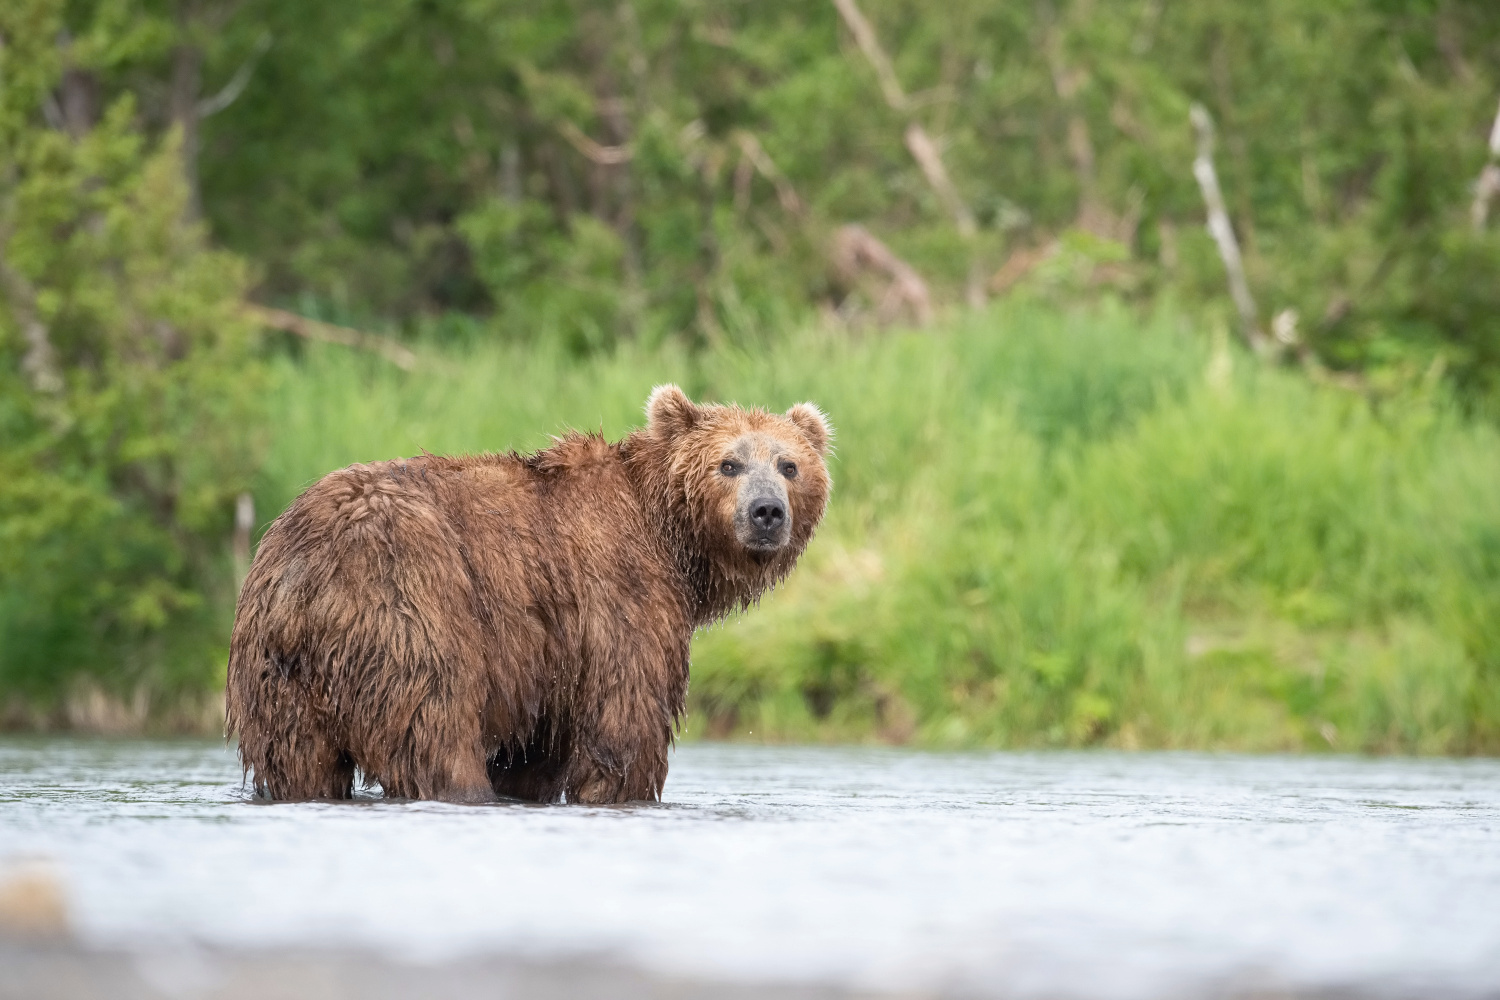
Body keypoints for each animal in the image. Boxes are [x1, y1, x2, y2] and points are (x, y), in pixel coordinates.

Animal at [226, 383, 834, 803]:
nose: (766, 512)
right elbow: (623, 722)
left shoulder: (552, 659)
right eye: (728, 463)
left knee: (300, 763)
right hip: (410, 608)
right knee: (436, 733)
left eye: (789, 465)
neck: (670, 537)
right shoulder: (619, 594)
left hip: (273, 677)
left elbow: (536, 751)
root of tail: (306, 576)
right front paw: (621, 788)